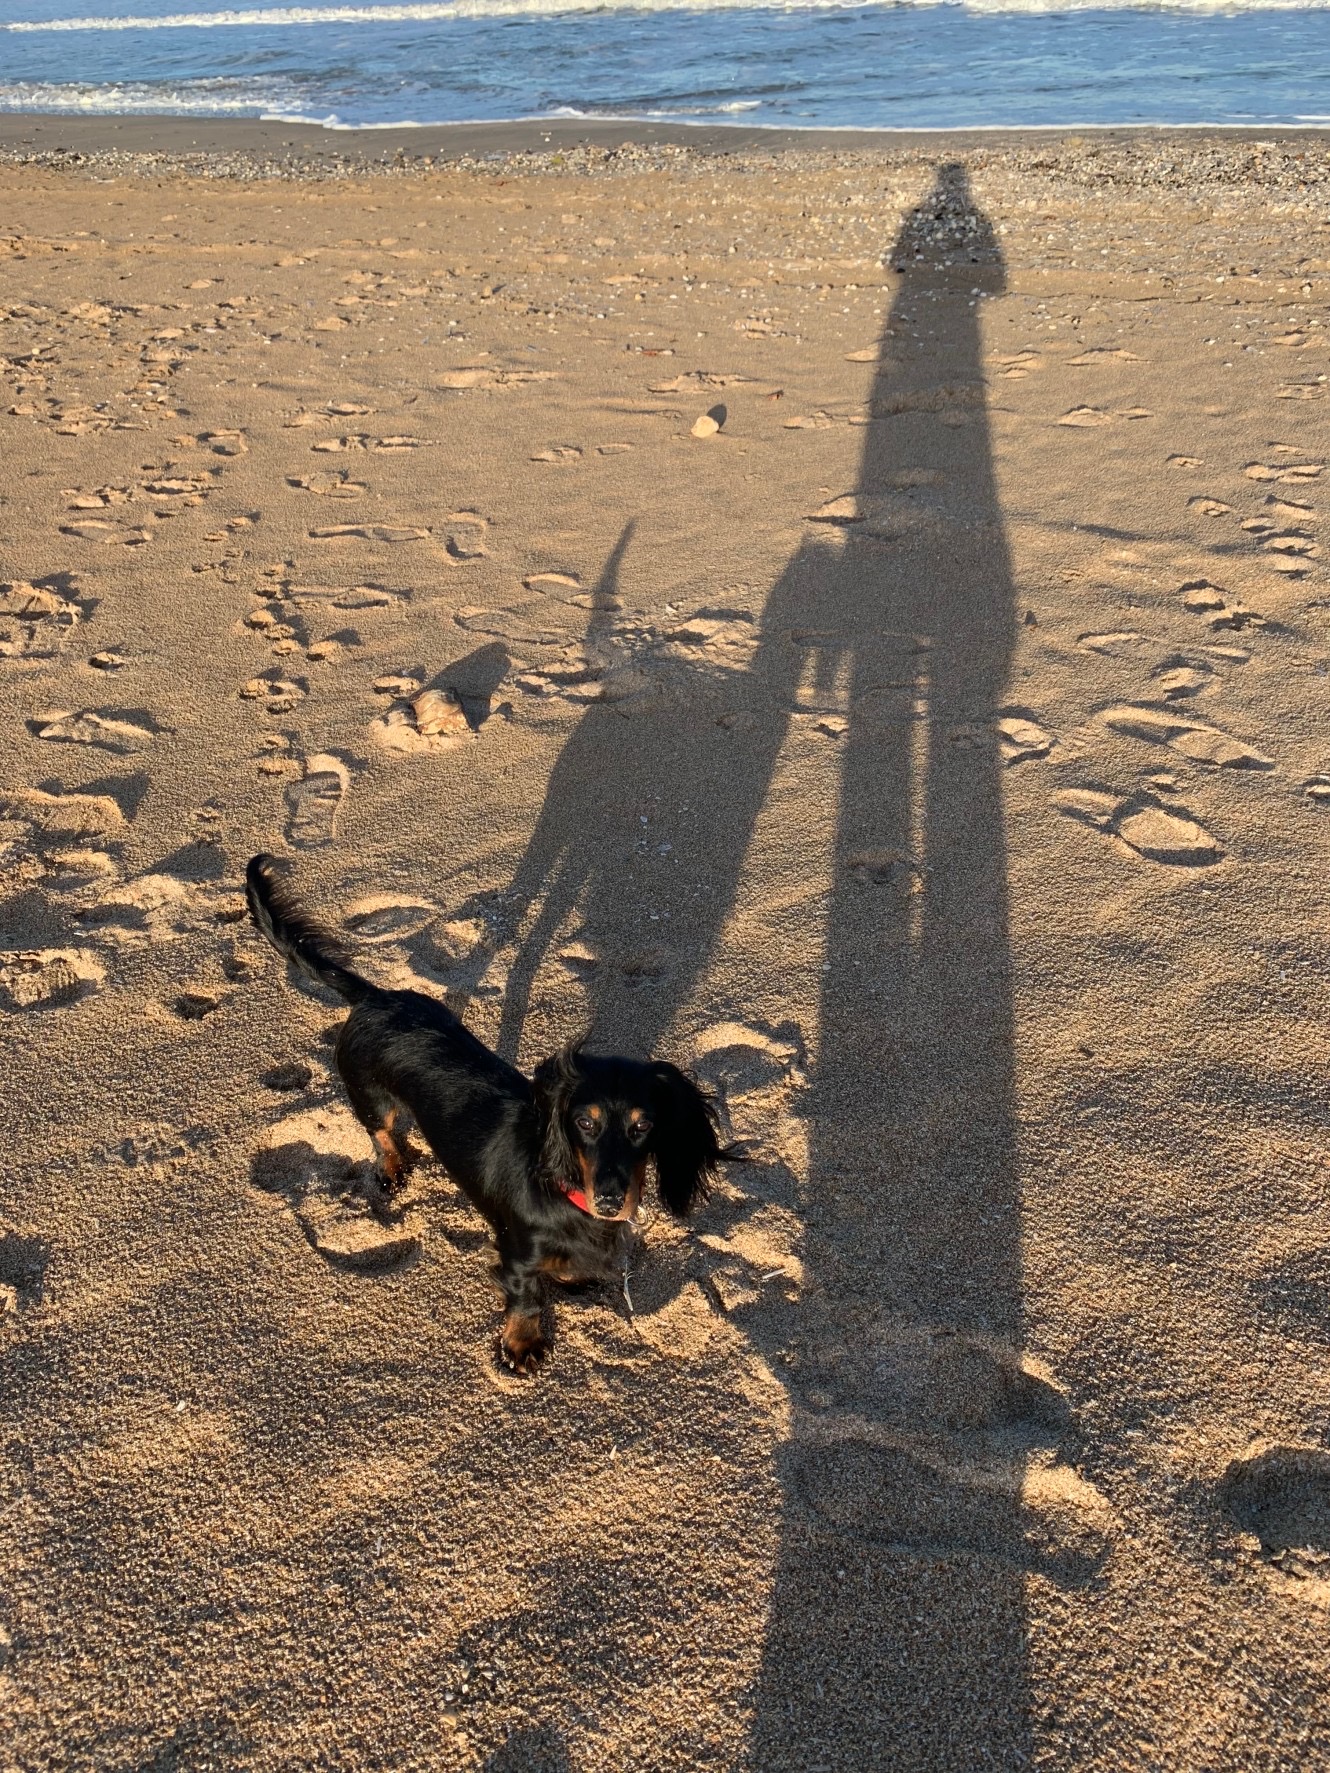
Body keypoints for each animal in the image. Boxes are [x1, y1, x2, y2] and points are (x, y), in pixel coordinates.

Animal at [246, 854, 744, 1368]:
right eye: (584, 1122)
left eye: (643, 1126)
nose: (610, 1201)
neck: (569, 1194)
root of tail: (378, 997)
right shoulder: (517, 1255)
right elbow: (527, 1299)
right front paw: (522, 1345)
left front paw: (572, 1279)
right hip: (370, 1097)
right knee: (380, 1133)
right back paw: (392, 1168)